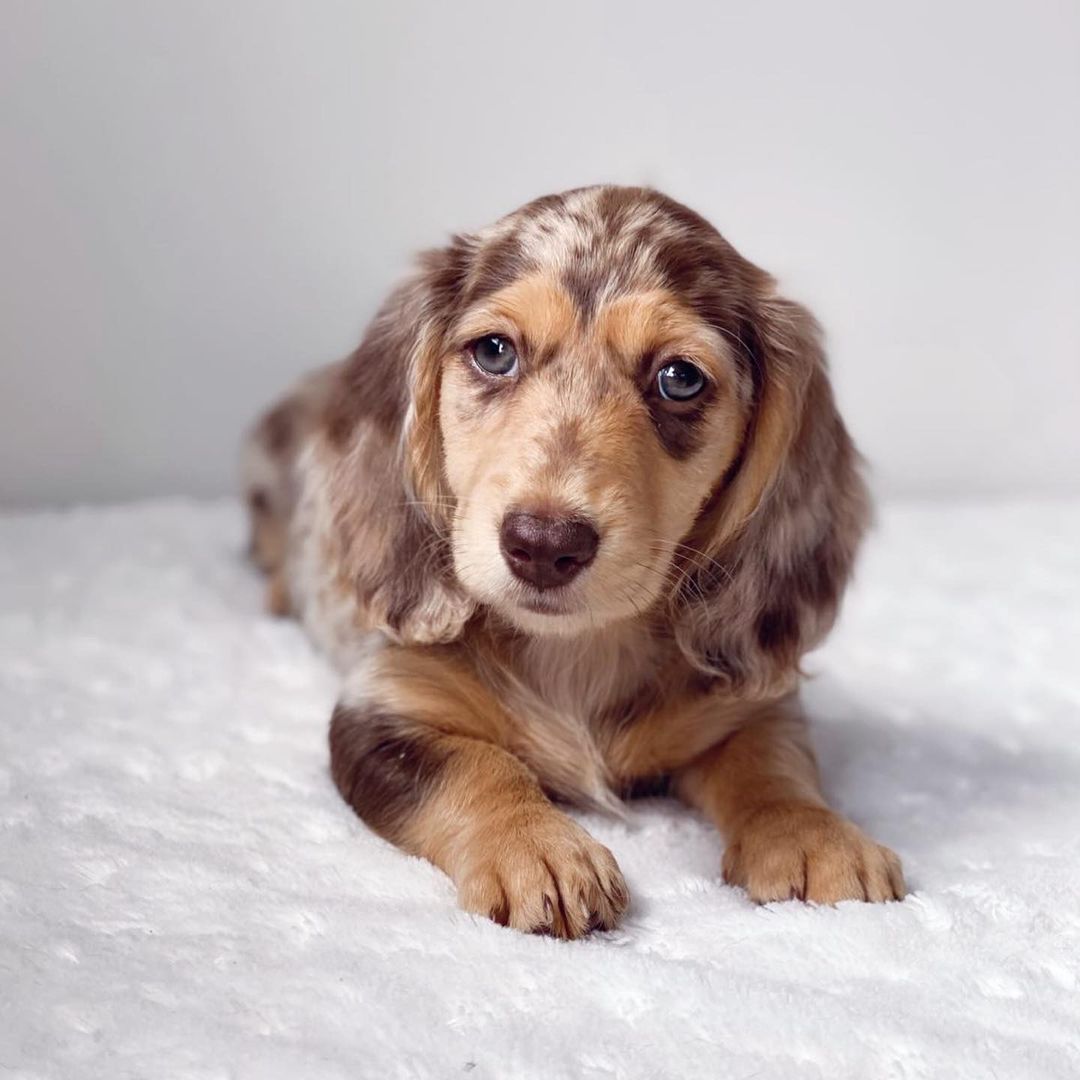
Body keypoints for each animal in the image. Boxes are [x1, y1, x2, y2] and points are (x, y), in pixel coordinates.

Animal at [243, 183, 902, 937]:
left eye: (679, 378)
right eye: (494, 351)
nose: (543, 543)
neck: (577, 651)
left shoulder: (748, 707)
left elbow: (772, 763)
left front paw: (812, 833)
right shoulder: (386, 709)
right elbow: (473, 766)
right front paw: (537, 848)